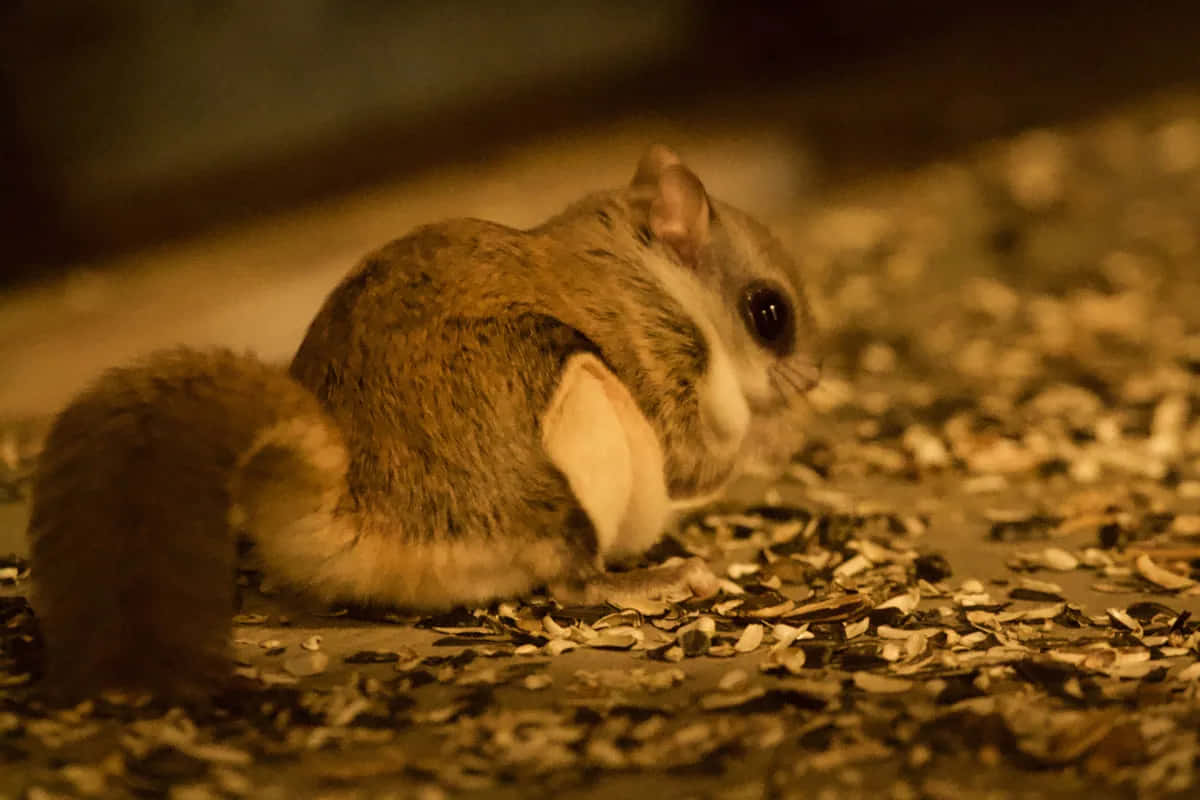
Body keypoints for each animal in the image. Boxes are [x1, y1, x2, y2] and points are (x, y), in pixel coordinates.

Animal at [26, 146, 820, 702]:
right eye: (769, 313)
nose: (812, 383)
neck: (649, 265)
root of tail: (348, 513)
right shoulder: (656, 345)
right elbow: (696, 457)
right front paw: (771, 440)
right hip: (580, 408)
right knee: (573, 580)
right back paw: (659, 578)